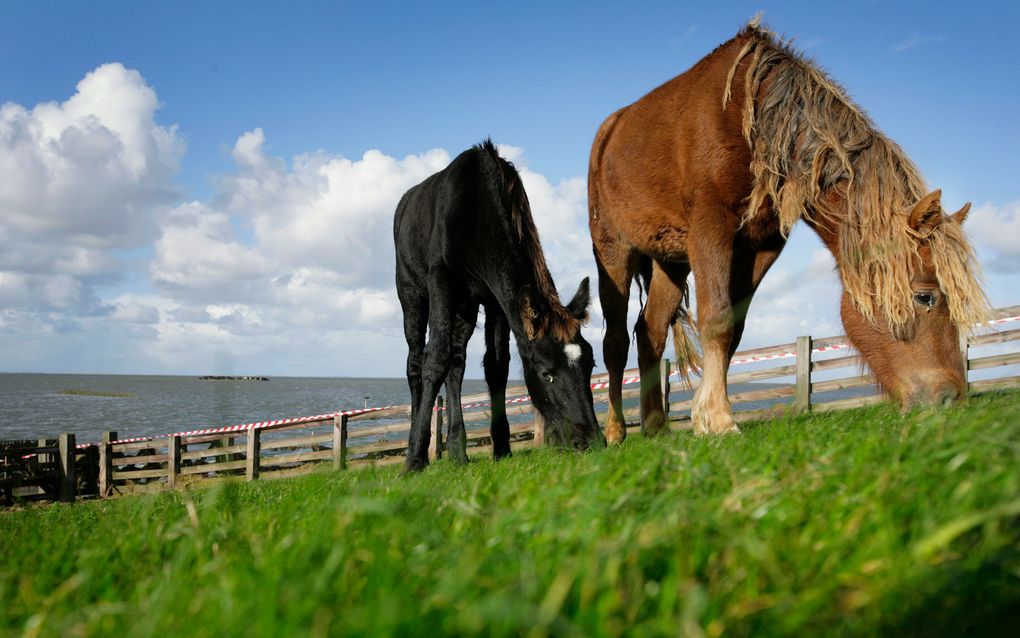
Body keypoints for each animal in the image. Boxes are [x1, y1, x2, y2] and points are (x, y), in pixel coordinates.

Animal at [391, 138, 599, 469]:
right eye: (546, 373)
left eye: (591, 364)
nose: (590, 440)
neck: (476, 212)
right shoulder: (441, 279)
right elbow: (433, 359)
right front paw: (414, 459)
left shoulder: (495, 299)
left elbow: (496, 365)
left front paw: (502, 447)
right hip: (411, 294)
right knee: (416, 363)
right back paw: (417, 445)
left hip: (465, 307)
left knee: (457, 363)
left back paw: (458, 450)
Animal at [591, 18, 987, 436]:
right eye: (925, 297)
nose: (952, 398)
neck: (751, 118)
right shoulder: (710, 225)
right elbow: (716, 319)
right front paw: (717, 419)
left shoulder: (759, 246)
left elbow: (733, 329)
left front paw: (711, 412)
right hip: (613, 252)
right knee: (615, 342)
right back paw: (615, 431)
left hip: (670, 260)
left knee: (650, 332)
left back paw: (656, 427)